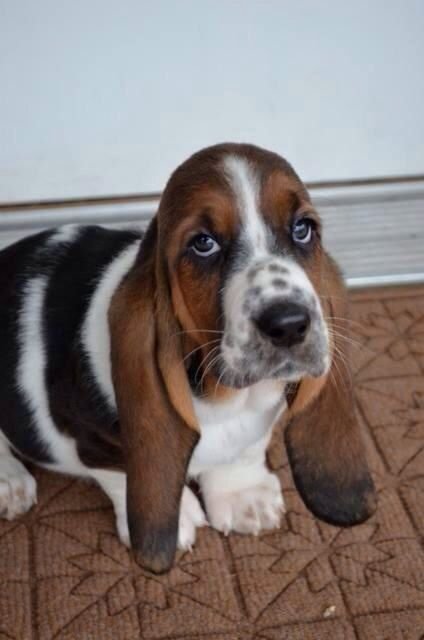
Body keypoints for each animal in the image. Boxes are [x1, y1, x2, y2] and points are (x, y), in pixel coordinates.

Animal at [0, 142, 378, 572]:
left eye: (303, 229)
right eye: (203, 243)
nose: (289, 324)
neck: (227, 400)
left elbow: (245, 449)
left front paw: (244, 496)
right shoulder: (91, 439)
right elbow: (122, 472)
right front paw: (179, 517)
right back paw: (9, 483)